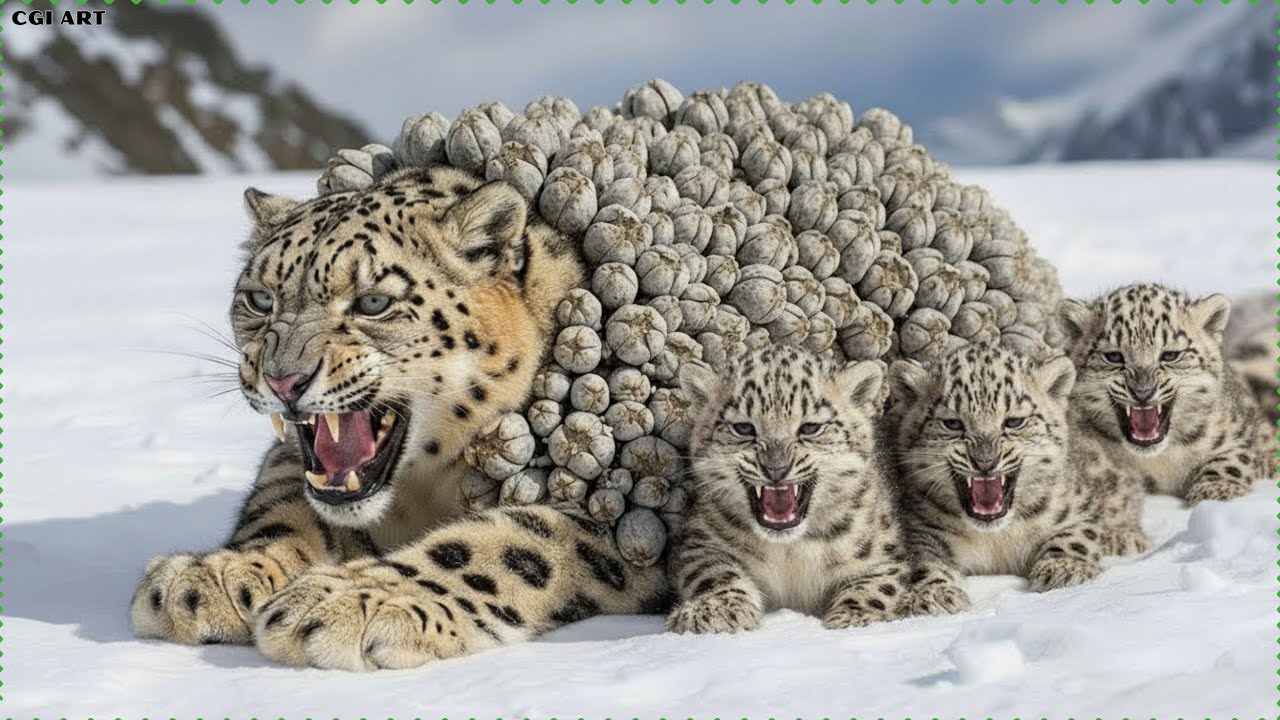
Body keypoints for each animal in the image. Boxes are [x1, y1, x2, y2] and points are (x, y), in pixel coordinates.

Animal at [129, 166, 669, 671]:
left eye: (373, 302)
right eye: (260, 298)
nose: (283, 380)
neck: (427, 487)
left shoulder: (632, 507)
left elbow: (514, 540)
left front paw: (351, 601)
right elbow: (282, 498)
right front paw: (215, 576)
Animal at [666, 345, 915, 634]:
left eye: (811, 427)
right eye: (743, 428)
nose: (776, 468)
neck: (790, 552)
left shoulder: (883, 558)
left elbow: (876, 588)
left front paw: (853, 619)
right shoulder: (703, 542)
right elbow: (714, 573)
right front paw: (715, 611)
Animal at [886, 342, 1106, 617]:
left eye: (1014, 421)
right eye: (952, 423)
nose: (985, 461)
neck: (995, 540)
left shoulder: (1077, 507)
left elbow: (1076, 537)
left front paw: (1064, 568)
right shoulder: (918, 526)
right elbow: (922, 559)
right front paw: (936, 595)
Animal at [1058, 284, 1274, 531]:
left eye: (1170, 355)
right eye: (1113, 356)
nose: (1143, 391)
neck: (1160, 460)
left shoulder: (1235, 437)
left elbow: (1232, 460)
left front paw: (1214, 493)